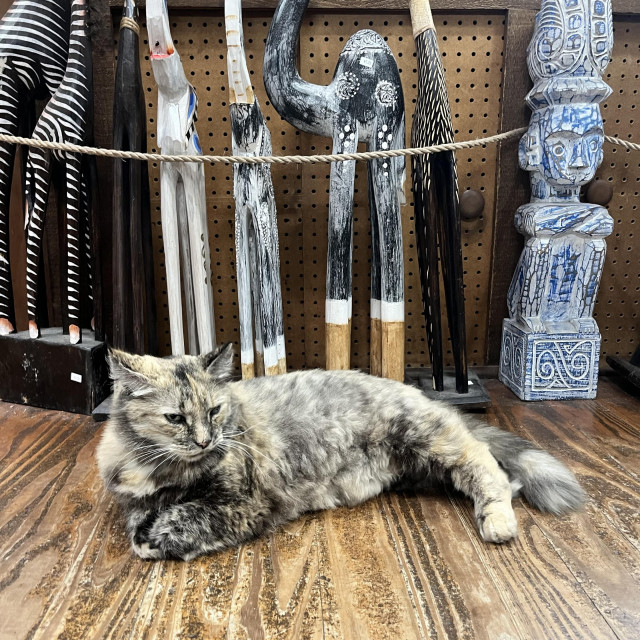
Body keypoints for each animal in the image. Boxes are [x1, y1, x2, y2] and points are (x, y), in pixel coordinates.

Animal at [96, 344, 584, 560]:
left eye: (214, 411)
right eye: (176, 418)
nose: (205, 441)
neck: (165, 472)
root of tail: (423, 395)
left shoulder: (243, 502)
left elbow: (185, 518)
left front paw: (160, 538)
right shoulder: (135, 496)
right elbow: (138, 519)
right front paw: (146, 527)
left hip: (431, 439)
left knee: (490, 469)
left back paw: (497, 522)